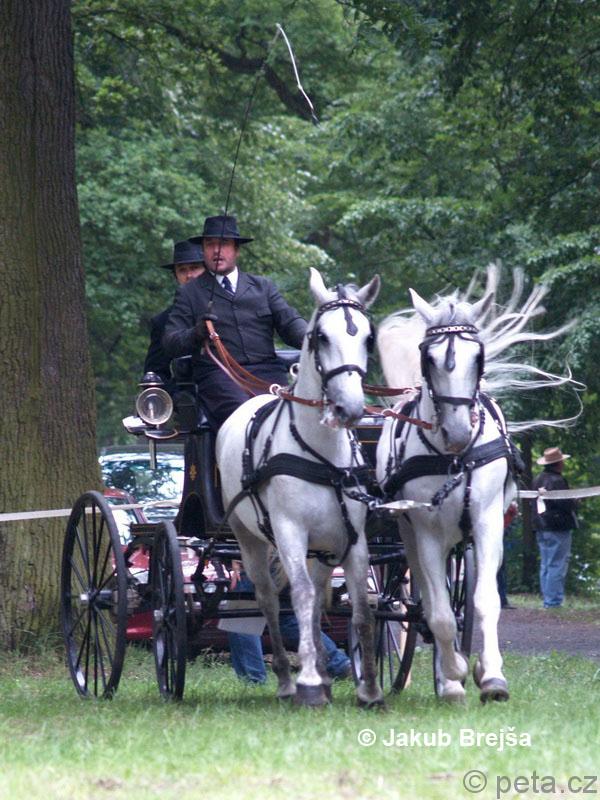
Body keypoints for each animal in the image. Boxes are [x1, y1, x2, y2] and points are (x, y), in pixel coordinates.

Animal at [216, 268, 383, 707]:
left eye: (368, 338)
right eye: (320, 336)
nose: (350, 408)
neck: (322, 458)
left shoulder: (353, 537)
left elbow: (361, 606)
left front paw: (369, 689)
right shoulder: (289, 530)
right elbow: (302, 597)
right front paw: (307, 681)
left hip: (322, 547)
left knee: (318, 589)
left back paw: (322, 676)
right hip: (249, 539)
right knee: (270, 601)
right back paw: (288, 681)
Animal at [376, 265, 578, 702]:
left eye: (478, 356)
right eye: (429, 356)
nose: (456, 431)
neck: (452, 456)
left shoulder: (487, 523)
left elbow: (485, 602)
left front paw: (492, 676)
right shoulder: (427, 531)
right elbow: (439, 613)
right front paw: (453, 676)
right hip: (408, 534)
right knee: (425, 599)